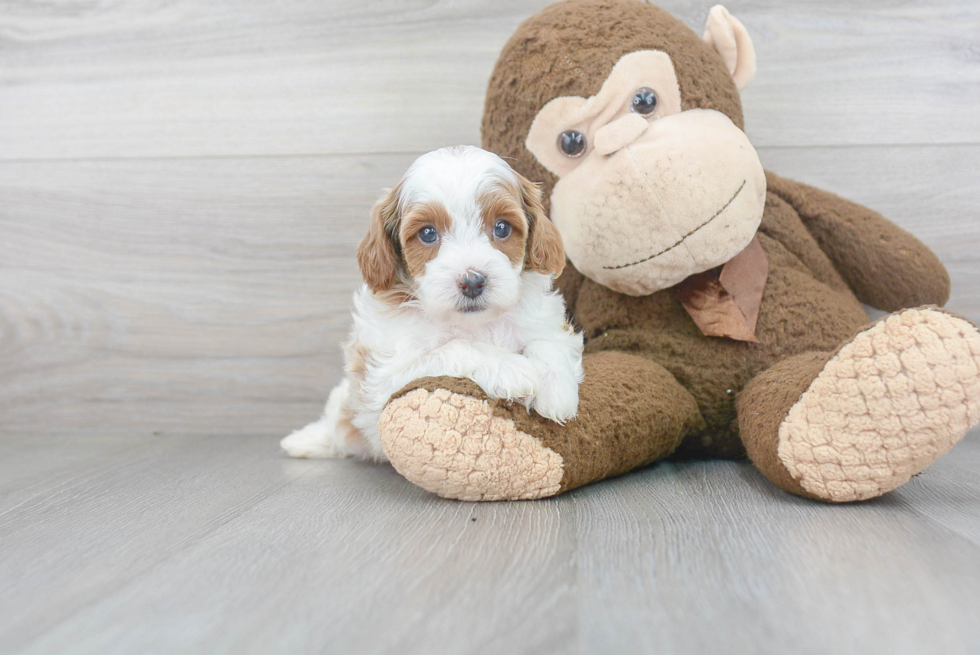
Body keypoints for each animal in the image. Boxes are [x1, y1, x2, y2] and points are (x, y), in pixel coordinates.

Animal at [280, 147, 584, 462]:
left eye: (502, 228)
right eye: (428, 233)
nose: (472, 281)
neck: (473, 324)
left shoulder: (548, 321)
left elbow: (548, 342)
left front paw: (556, 388)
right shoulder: (384, 378)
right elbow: (456, 347)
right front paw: (513, 369)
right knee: (335, 425)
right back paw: (306, 441)